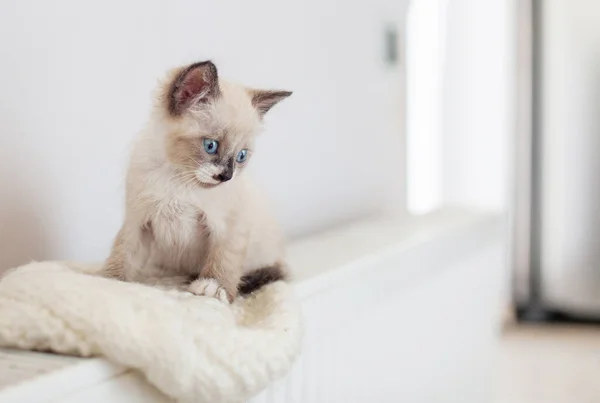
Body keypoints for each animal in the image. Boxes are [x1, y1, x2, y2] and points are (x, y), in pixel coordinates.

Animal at [104, 61, 292, 304]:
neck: (178, 178)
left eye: (241, 156)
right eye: (210, 146)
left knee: (275, 270)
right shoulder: (138, 222)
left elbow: (224, 258)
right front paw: (110, 281)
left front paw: (213, 287)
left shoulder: (230, 226)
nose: (226, 176)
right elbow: (123, 253)